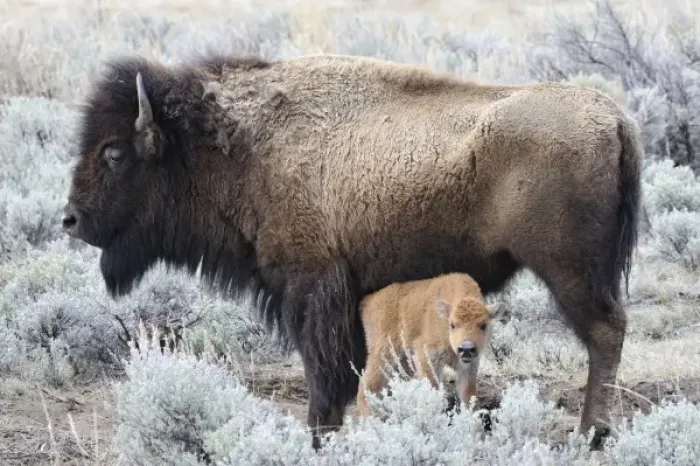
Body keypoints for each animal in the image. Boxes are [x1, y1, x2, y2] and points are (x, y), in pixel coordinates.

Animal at [355, 272, 506, 417]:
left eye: (483, 325)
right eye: (452, 325)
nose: (466, 348)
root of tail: (369, 300)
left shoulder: (469, 367)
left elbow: (468, 398)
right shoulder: (427, 356)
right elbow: (432, 388)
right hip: (384, 353)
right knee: (367, 385)